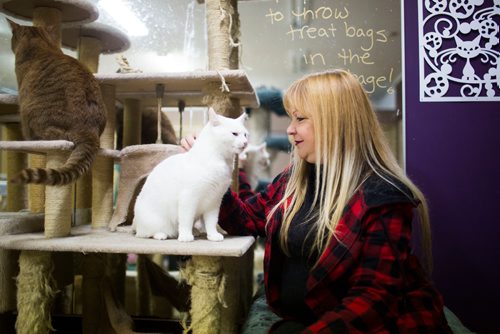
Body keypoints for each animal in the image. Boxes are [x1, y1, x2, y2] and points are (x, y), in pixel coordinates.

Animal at [133, 109, 248, 243]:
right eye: (234, 133)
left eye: (245, 134)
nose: (245, 143)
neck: (221, 161)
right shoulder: (188, 198)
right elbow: (186, 220)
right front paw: (185, 236)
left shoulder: (214, 201)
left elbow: (211, 222)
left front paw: (213, 235)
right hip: (154, 221)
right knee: (145, 233)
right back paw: (162, 234)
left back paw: (195, 231)